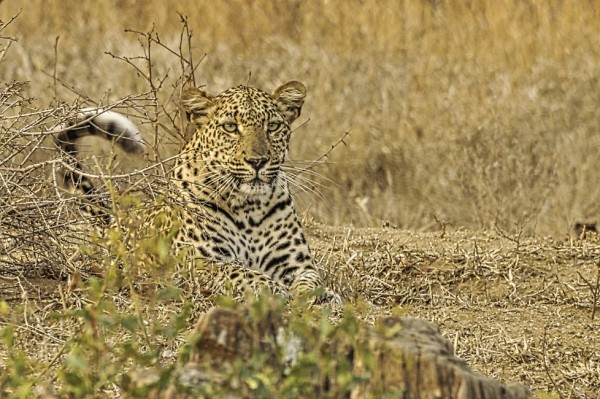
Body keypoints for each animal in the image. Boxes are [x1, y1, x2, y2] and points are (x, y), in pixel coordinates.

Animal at [55, 81, 328, 302]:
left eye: (272, 126)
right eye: (231, 127)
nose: (258, 161)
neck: (249, 208)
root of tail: (116, 218)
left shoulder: (297, 263)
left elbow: (313, 281)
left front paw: (321, 296)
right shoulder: (197, 261)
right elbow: (238, 272)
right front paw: (273, 289)